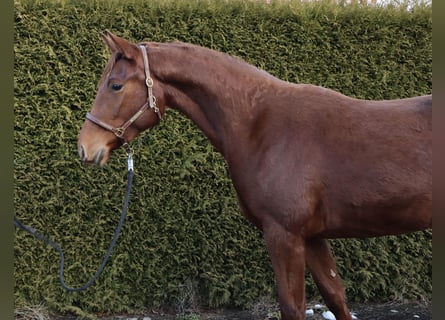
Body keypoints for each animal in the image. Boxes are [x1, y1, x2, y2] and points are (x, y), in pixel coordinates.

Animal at [76, 31, 430, 320]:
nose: (85, 147)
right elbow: (336, 298)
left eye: (115, 85)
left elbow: (293, 306)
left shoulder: (284, 235)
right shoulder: (313, 237)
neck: (261, 125)